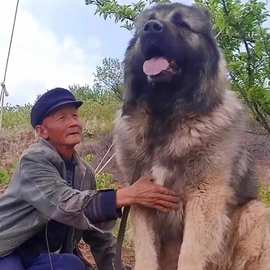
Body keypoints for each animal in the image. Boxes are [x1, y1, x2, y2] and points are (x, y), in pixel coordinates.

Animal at [113, 2, 270, 270]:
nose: (151, 28)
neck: (165, 115)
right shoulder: (142, 197)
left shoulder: (204, 196)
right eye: (148, 21)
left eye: (182, 24)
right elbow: (146, 253)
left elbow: (191, 253)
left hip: (256, 212)